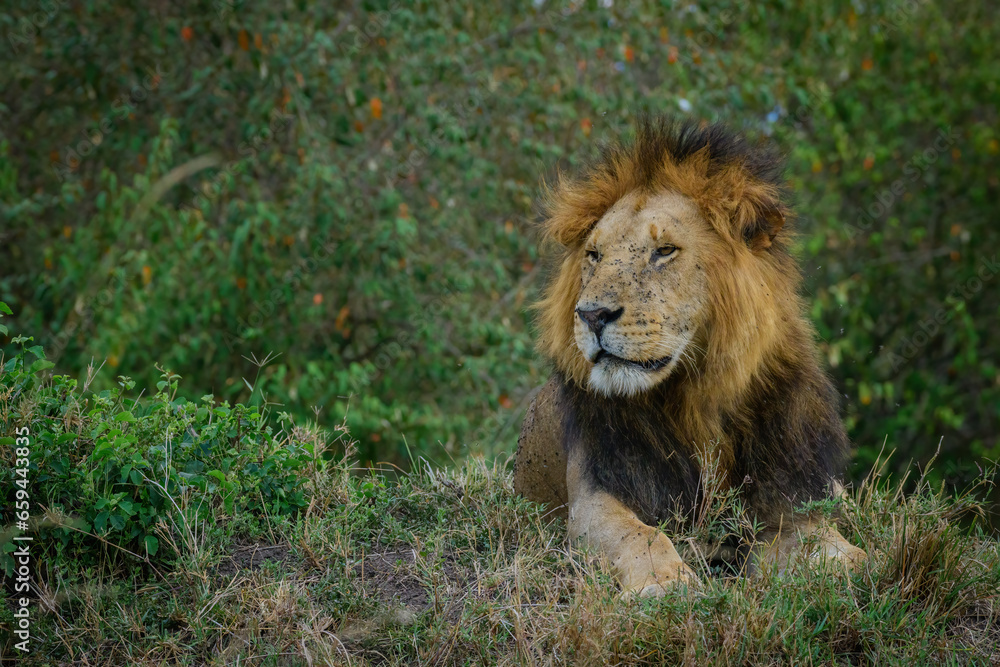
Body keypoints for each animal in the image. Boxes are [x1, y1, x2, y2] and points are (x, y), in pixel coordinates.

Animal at [516, 117, 868, 596]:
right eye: (594, 255)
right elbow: (642, 535)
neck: (698, 399)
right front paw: (666, 583)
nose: (590, 314)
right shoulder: (594, 496)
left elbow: (826, 541)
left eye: (665, 251)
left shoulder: (789, 497)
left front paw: (857, 565)